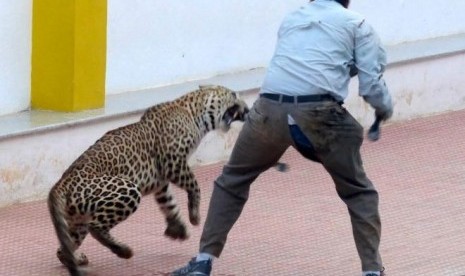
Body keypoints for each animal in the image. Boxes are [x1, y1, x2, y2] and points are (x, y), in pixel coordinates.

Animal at [47, 85, 248, 274]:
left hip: (78, 219)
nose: (247, 110)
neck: (193, 112)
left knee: (64, 247)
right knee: (96, 227)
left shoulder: (161, 180)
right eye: (233, 94)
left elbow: (169, 202)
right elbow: (194, 185)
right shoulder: (173, 163)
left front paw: (178, 228)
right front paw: (195, 216)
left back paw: (76, 258)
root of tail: (60, 184)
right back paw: (124, 250)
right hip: (127, 191)